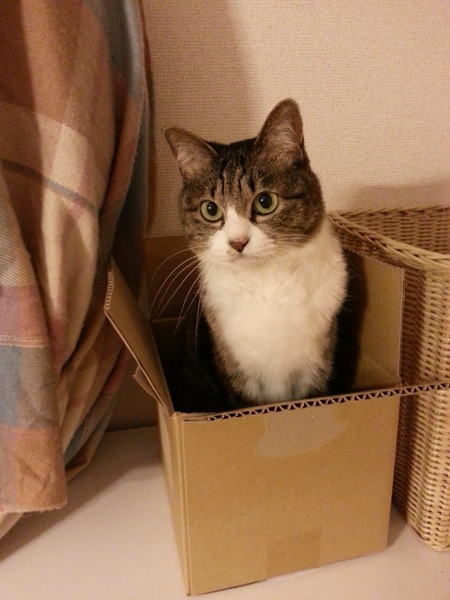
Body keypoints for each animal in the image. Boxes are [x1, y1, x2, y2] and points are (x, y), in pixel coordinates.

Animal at [164, 98, 348, 412]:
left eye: (265, 201)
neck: (267, 282)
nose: (238, 242)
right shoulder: (238, 379)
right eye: (210, 209)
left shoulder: (316, 375)